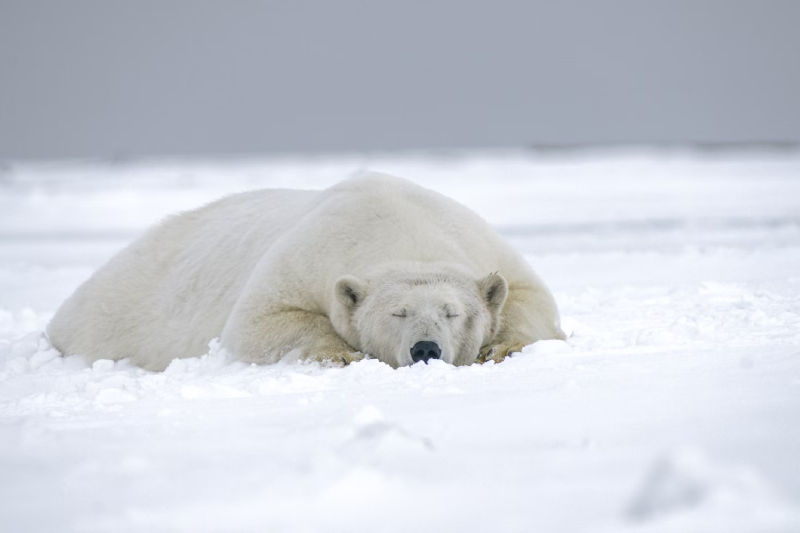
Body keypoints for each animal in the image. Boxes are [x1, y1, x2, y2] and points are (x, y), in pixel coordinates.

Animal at [47, 172, 564, 368]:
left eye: (452, 312)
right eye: (396, 313)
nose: (425, 349)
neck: (398, 226)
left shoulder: (478, 242)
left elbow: (529, 298)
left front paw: (500, 347)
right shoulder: (308, 255)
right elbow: (259, 323)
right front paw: (343, 355)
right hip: (115, 313)